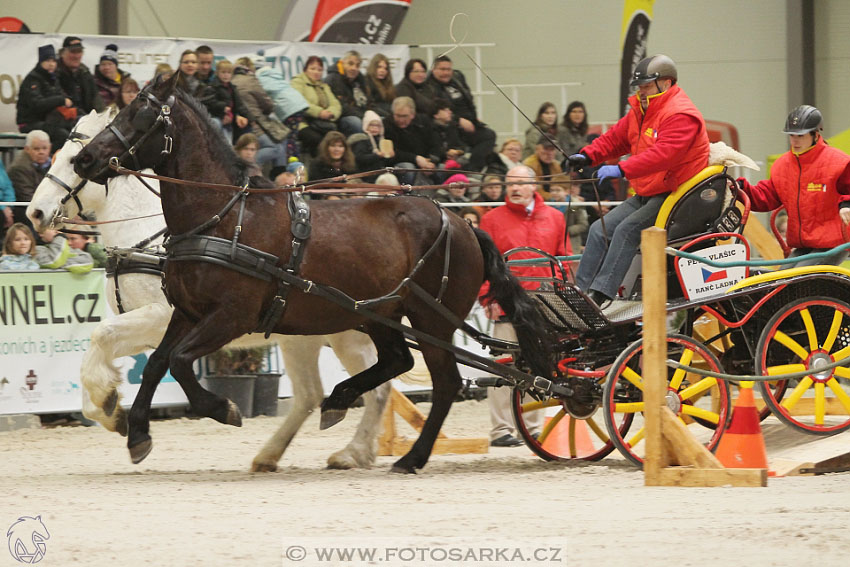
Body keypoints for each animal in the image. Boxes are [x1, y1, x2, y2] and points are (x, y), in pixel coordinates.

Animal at [25, 108, 390, 472]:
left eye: (72, 160)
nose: (34, 212)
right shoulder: (149, 329)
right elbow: (97, 354)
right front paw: (110, 409)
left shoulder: (162, 316)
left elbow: (101, 336)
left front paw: (112, 404)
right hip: (302, 339)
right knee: (314, 394)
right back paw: (273, 455)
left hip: (348, 337)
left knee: (380, 389)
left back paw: (354, 452)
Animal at [73, 75, 548, 474]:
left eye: (140, 113)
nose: (84, 159)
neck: (222, 218)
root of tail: (462, 222)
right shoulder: (186, 313)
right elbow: (157, 363)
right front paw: (136, 431)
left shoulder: (230, 317)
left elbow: (180, 362)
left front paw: (223, 409)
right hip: (380, 315)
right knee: (396, 361)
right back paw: (340, 403)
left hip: (431, 320)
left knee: (444, 382)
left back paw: (409, 457)